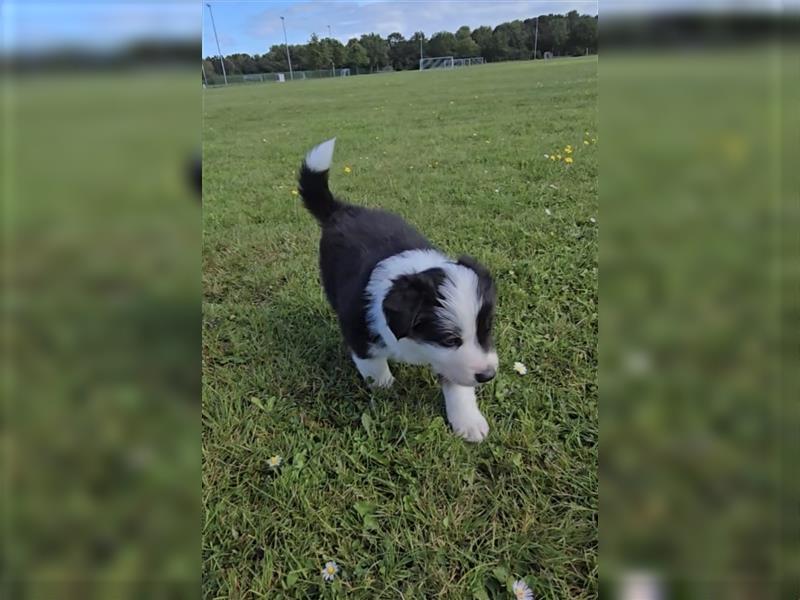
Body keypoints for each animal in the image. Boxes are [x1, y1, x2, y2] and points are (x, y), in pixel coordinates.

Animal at [300, 139, 500, 440]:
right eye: (449, 339)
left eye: (486, 330)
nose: (488, 376)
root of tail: (341, 210)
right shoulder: (358, 329)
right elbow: (373, 365)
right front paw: (386, 390)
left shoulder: (453, 361)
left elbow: (457, 382)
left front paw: (468, 422)